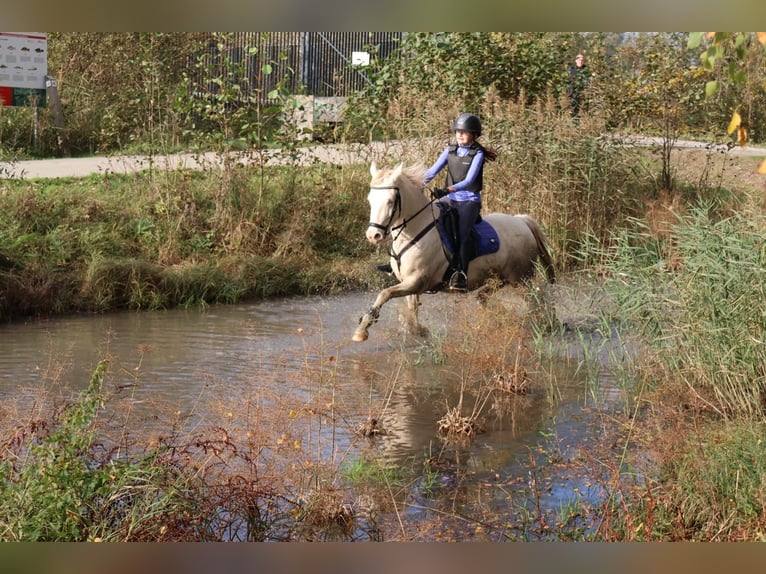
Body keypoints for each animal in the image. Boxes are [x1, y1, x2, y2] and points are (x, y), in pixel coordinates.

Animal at [352, 162, 555, 342]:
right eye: (370, 200)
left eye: (390, 201)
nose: (373, 235)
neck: (415, 231)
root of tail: (522, 220)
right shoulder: (408, 282)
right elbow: (411, 308)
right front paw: (417, 330)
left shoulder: (417, 281)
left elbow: (384, 294)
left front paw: (362, 330)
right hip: (500, 278)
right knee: (483, 297)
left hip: (521, 279)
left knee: (537, 300)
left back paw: (546, 325)